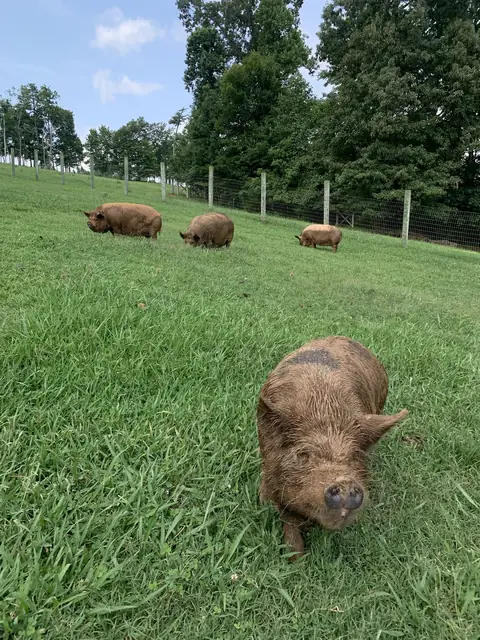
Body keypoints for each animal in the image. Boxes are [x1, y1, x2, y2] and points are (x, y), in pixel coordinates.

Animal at [257, 336, 408, 561]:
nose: (344, 482)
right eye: (303, 454)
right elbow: (286, 518)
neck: (325, 413)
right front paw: (297, 561)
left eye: (354, 456)